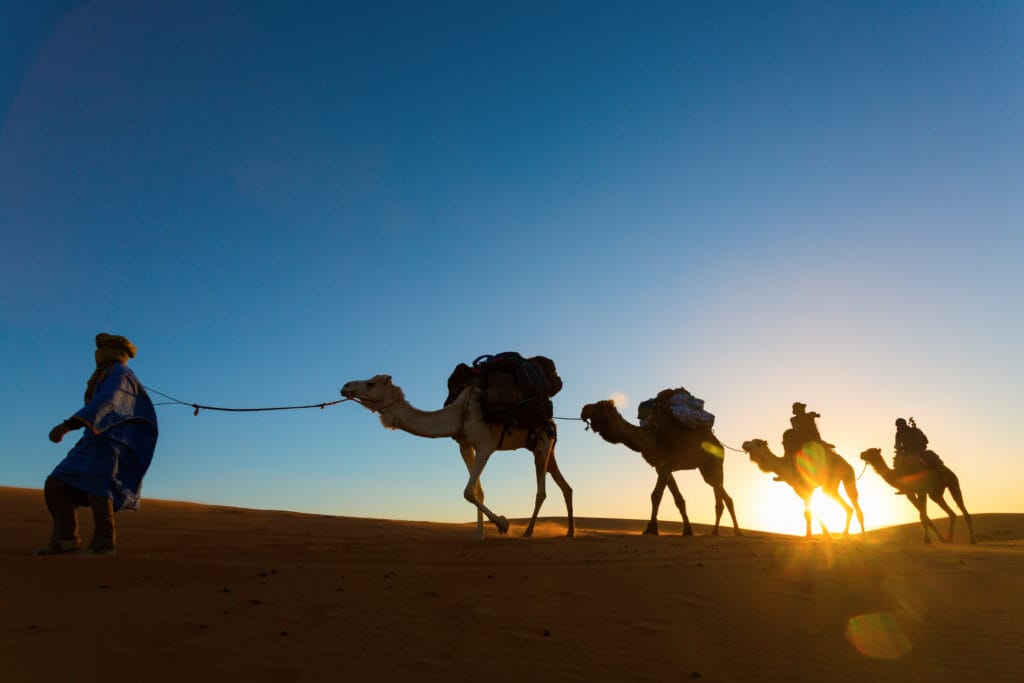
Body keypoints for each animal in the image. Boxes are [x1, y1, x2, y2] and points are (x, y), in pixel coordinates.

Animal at [340, 375, 573, 540]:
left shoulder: (485, 446)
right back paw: (569, 532)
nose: (345, 386)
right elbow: (478, 492)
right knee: (565, 486)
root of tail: (552, 420)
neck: (458, 413)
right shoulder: (465, 445)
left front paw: (503, 524)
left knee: (541, 491)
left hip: (542, 446)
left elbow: (468, 491)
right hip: (546, 449)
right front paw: (479, 535)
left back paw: (528, 532)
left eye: (370, 383)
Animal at [579, 400, 741, 536]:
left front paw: (650, 529)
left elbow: (656, 495)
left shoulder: (666, 464)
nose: (584, 409)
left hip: (714, 463)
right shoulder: (661, 467)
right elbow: (678, 499)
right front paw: (687, 530)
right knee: (717, 490)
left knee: (725, 495)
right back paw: (715, 531)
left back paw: (737, 532)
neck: (651, 438)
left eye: (600, 406)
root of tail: (719, 443)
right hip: (705, 468)